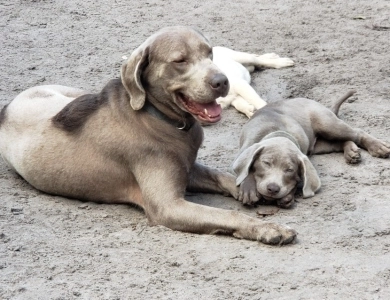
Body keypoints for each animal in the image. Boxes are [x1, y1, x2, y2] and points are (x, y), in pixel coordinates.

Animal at [0, 27, 296, 245]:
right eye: (180, 60)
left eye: (209, 53)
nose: (222, 81)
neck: (161, 119)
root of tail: (7, 107)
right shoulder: (169, 206)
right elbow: (227, 215)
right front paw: (269, 228)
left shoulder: (188, 167)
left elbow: (223, 177)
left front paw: (249, 186)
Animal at [233, 91, 390, 209]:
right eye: (266, 163)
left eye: (289, 170)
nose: (273, 188)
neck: (278, 132)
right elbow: (246, 169)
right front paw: (248, 189)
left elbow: (297, 181)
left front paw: (288, 196)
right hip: (320, 144)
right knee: (340, 142)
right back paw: (352, 151)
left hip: (327, 124)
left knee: (357, 133)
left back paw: (379, 147)